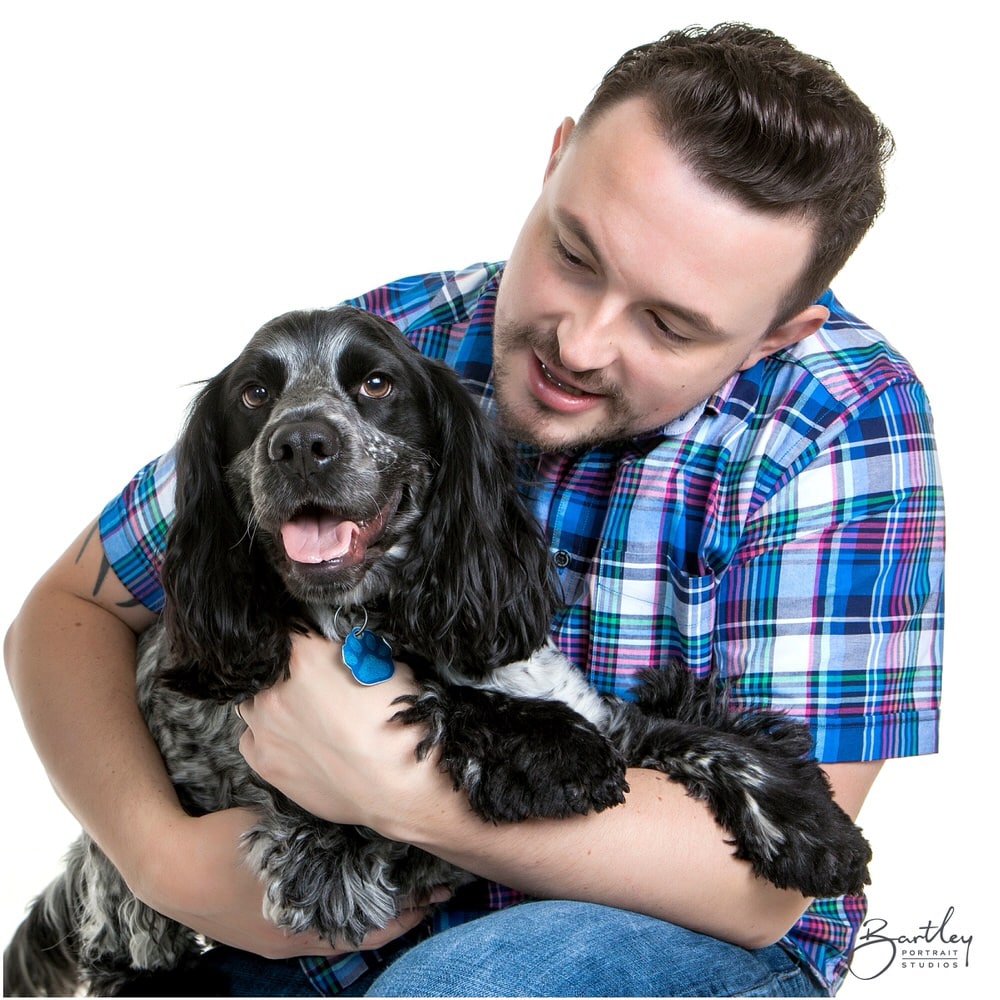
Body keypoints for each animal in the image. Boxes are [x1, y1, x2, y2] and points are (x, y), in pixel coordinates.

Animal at [3, 308, 872, 996]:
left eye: (375, 383)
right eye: (253, 395)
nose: (301, 441)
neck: (378, 616)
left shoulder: (600, 707)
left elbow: (704, 734)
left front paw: (811, 828)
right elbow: (436, 708)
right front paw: (551, 750)